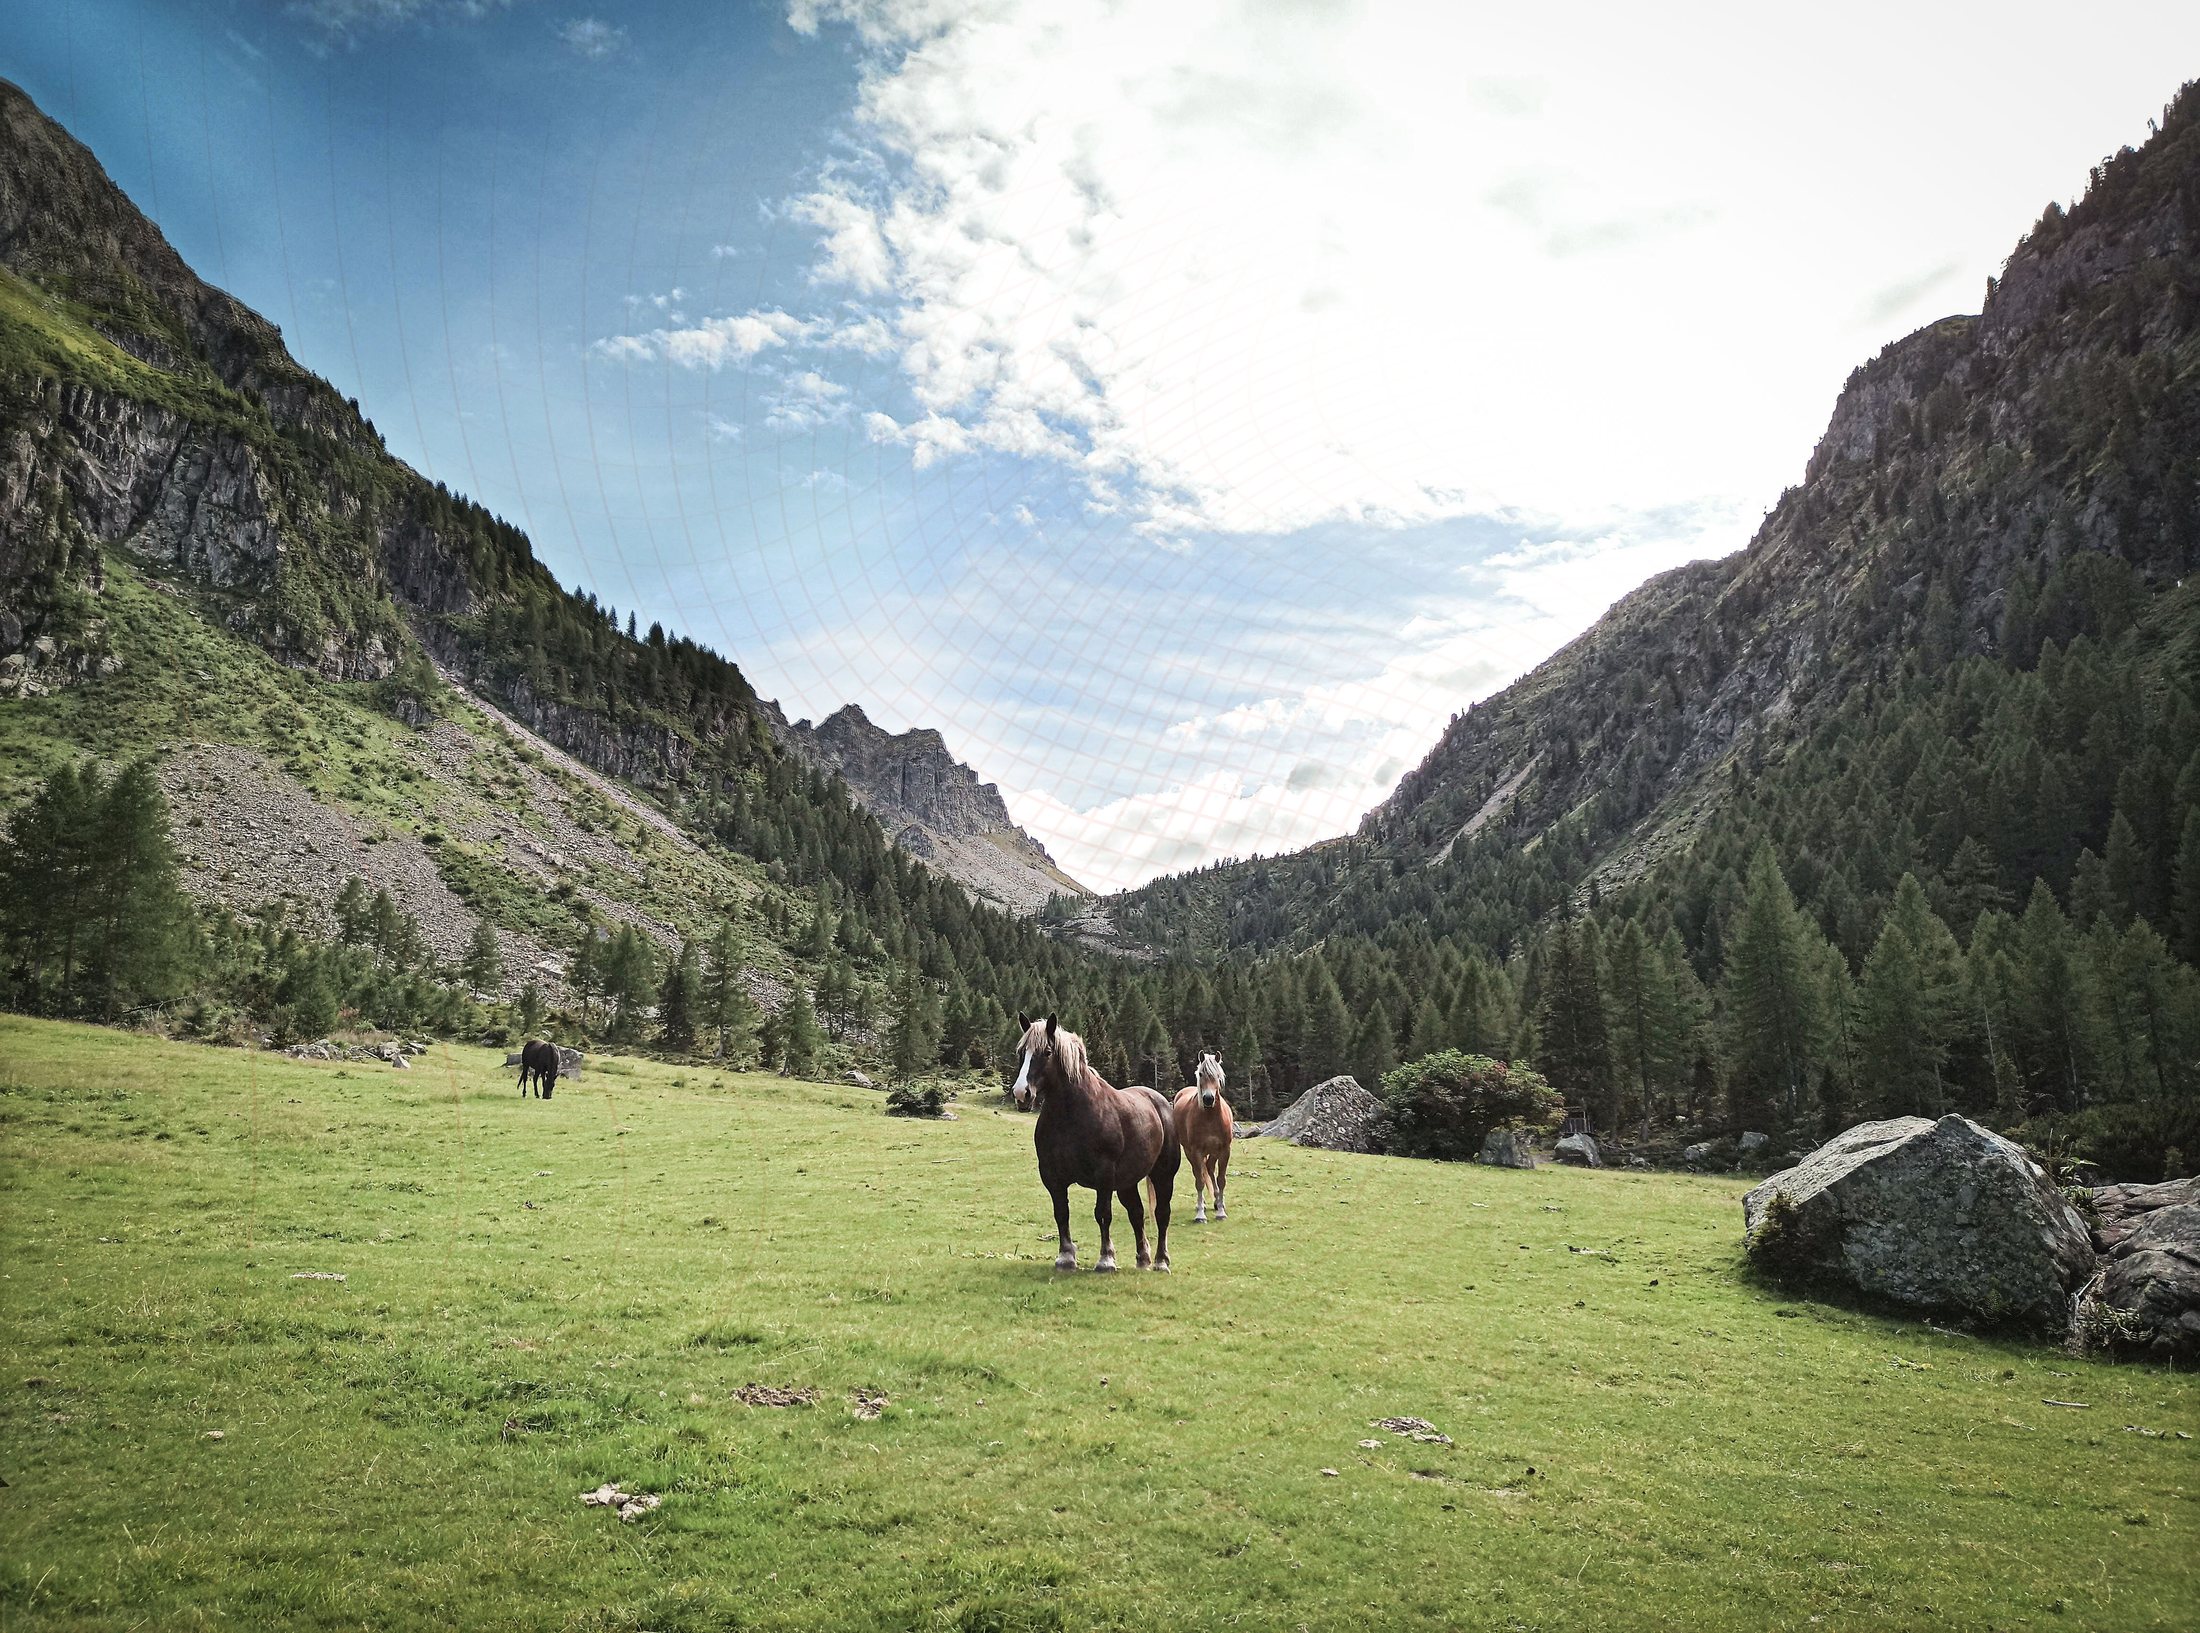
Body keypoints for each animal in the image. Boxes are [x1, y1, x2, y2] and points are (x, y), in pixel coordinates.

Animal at [1011, 1015, 1179, 1273]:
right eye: (1022, 1052)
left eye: (1047, 1052)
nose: (1022, 1094)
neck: (1071, 1116)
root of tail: (1161, 1102)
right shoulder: (1052, 1176)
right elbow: (1061, 1213)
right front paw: (1066, 1257)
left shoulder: (1104, 1175)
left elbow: (1102, 1214)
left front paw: (1106, 1259)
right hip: (1127, 1182)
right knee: (1136, 1213)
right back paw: (1143, 1258)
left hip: (1163, 1176)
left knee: (1162, 1214)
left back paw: (1161, 1261)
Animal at [1172, 1049, 1234, 1222]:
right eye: (1200, 1074)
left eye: (1218, 1075)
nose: (1208, 1099)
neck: (1210, 1118)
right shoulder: (1197, 1151)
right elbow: (1200, 1181)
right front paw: (1200, 1215)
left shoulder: (1225, 1150)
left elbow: (1221, 1179)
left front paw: (1221, 1211)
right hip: (1189, 1152)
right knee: (1198, 1172)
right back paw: (1204, 1204)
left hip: (1214, 1152)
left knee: (1210, 1169)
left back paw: (1218, 1201)